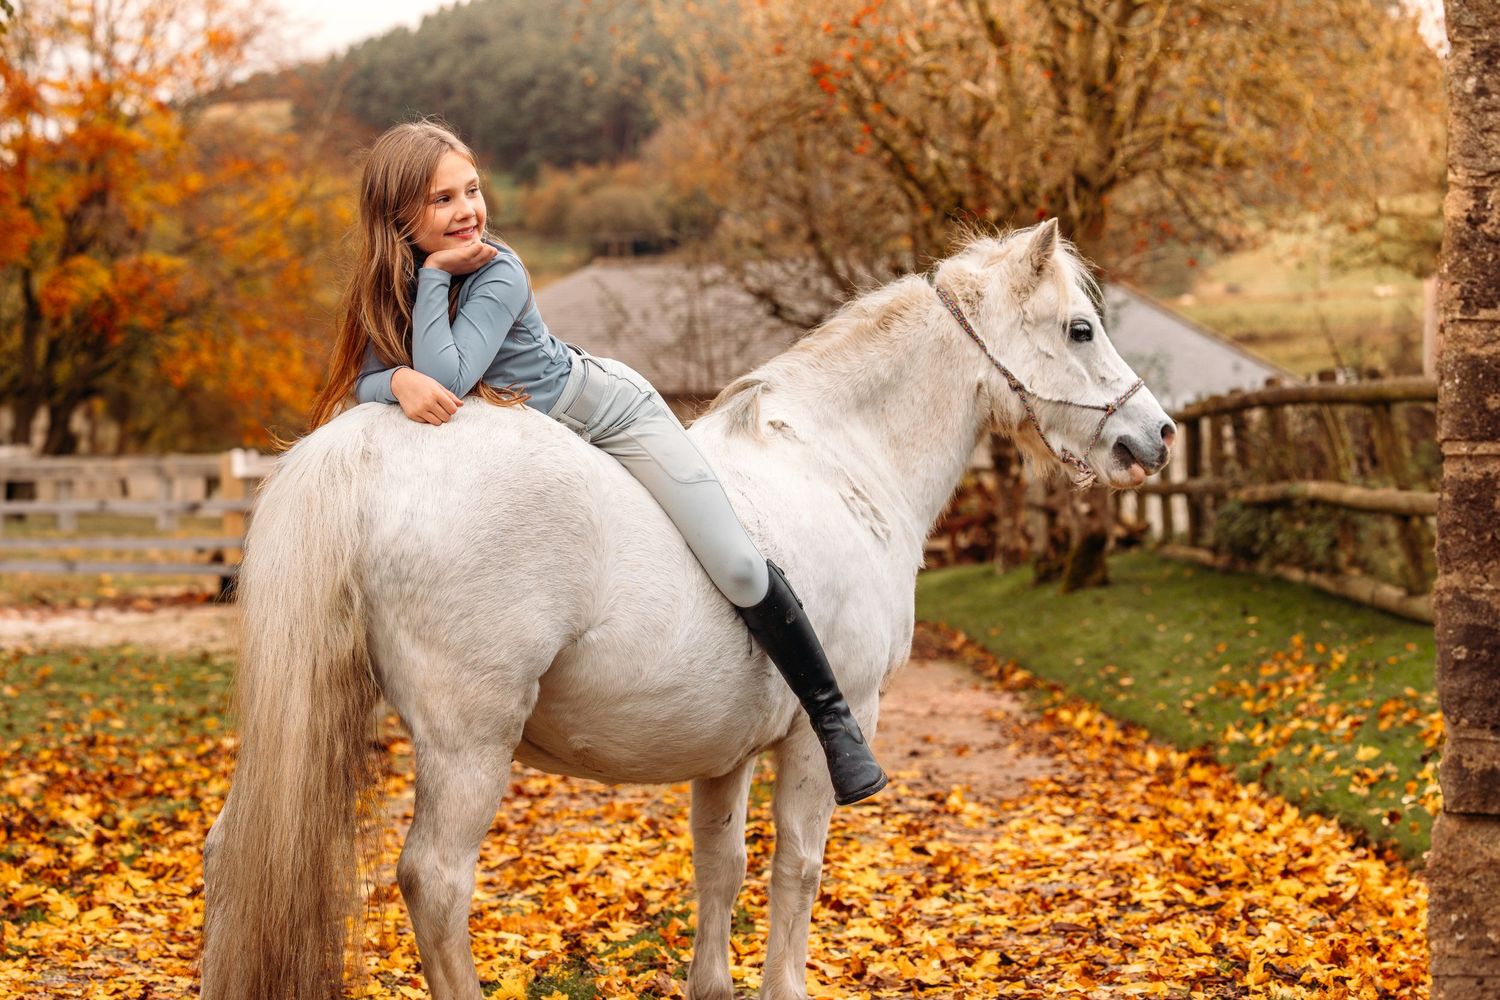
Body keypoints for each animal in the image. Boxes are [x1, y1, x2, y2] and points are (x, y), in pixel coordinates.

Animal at [200, 219, 1174, 1000]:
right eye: (1080, 328)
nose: (1156, 436)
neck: (839, 464)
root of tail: (368, 446)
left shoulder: (726, 752)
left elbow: (720, 868)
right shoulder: (829, 723)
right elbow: (797, 867)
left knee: (233, 853)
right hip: (468, 742)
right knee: (436, 881)